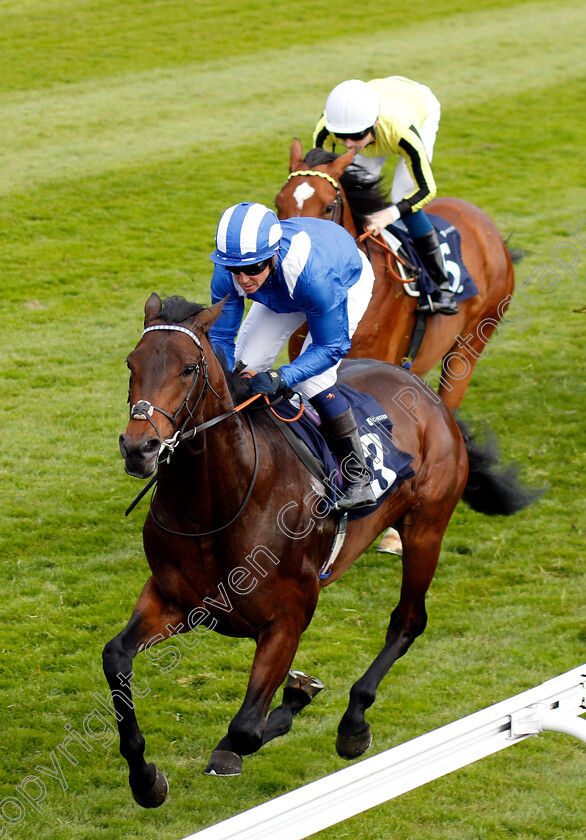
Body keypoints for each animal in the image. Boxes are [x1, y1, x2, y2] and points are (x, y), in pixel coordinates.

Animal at [104, 290, 532, 808]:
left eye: (188, 368)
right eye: (132, 363)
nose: (139, 447)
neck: (213, 506)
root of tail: (425, 389)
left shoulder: (288, 618)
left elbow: (246, 729)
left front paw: (290, 703)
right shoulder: (172, 600)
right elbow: (116, 658)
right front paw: (146, 780)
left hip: (426, 528)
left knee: (408, 621)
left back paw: (354, 723)